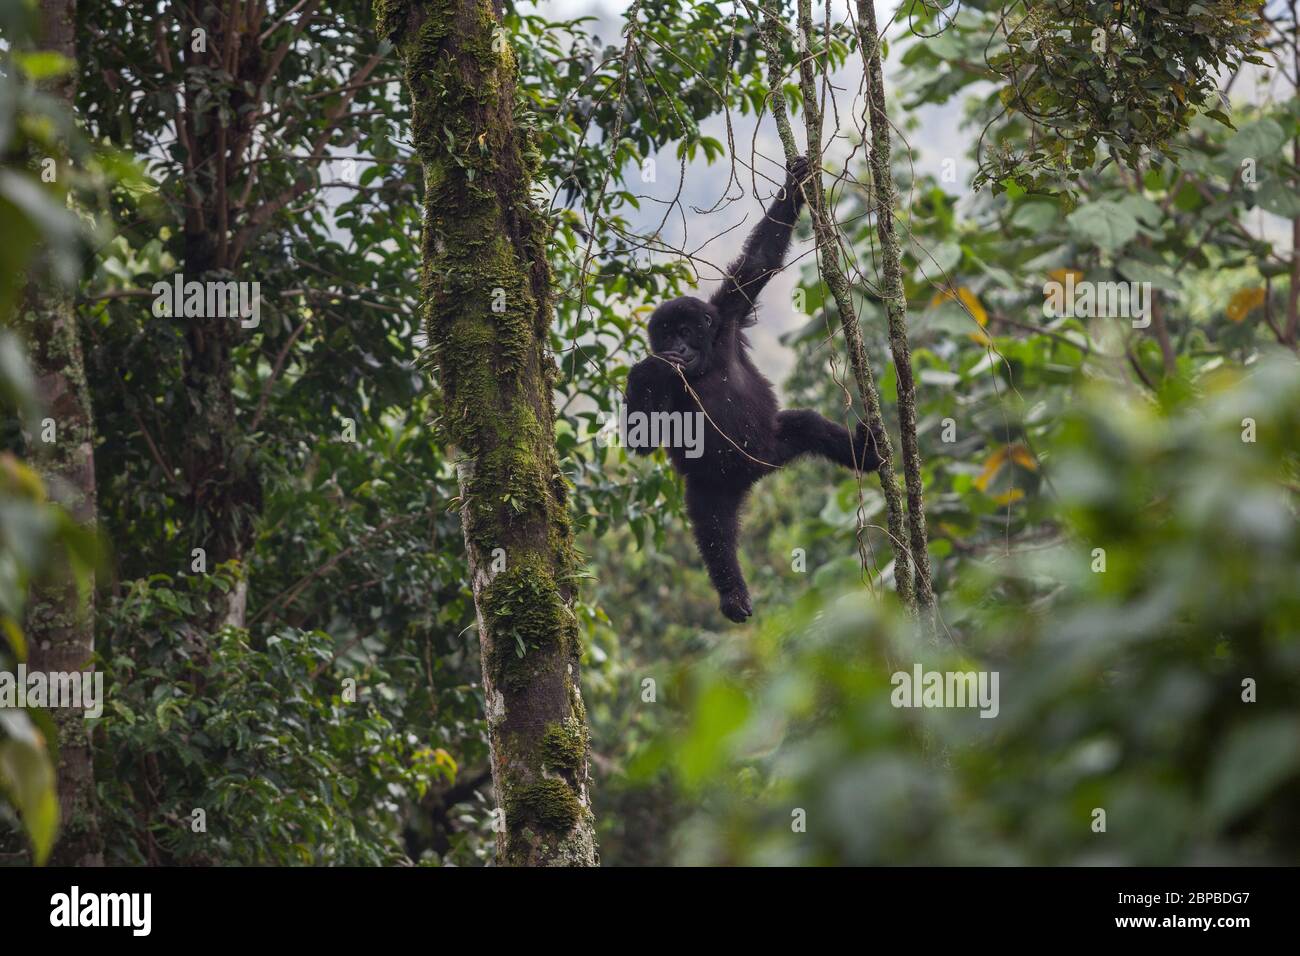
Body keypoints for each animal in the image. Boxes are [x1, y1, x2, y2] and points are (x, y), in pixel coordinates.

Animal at [624, 155, 885, 623]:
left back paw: (867, 454)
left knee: (806, 425)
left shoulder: (726, 315)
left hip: (772, 445)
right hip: (712, 486)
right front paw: (649, 368)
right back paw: (733, 595)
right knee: (713, 532)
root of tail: (754, 475)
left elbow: (758, 263)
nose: (678, 348)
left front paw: (795, 182)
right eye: (667, 334)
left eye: (686, 330)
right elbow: (643, 438)